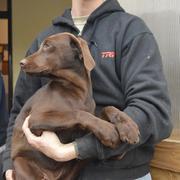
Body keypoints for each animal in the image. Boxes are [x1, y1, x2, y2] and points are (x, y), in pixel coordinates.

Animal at [11, 32, 139, 180]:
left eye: (48, 45)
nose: (21, 63)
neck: (75, 90)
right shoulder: (34, 118)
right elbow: (77, 113)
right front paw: (108, 130)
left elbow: (108, 108)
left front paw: (129, 127)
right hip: (21, 162)